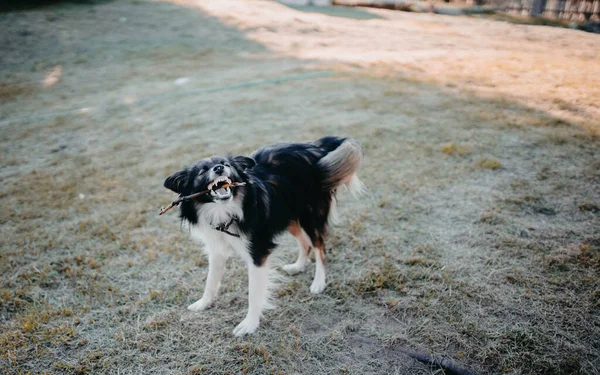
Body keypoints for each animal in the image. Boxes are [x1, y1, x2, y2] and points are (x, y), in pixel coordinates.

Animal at [162, 137, 364, 336]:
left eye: (226, 164)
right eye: (202, 171)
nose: (219, 168)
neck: (224, 211)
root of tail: (315, 147)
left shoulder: (257, 252)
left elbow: (254, 292)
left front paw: (249, 324)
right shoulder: (216, 249)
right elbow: (211, 280)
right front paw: (203, 303)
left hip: (310, 216)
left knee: (319, 248)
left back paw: (319, 283)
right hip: (286, 214)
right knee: (305, 243)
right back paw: (297, 266)